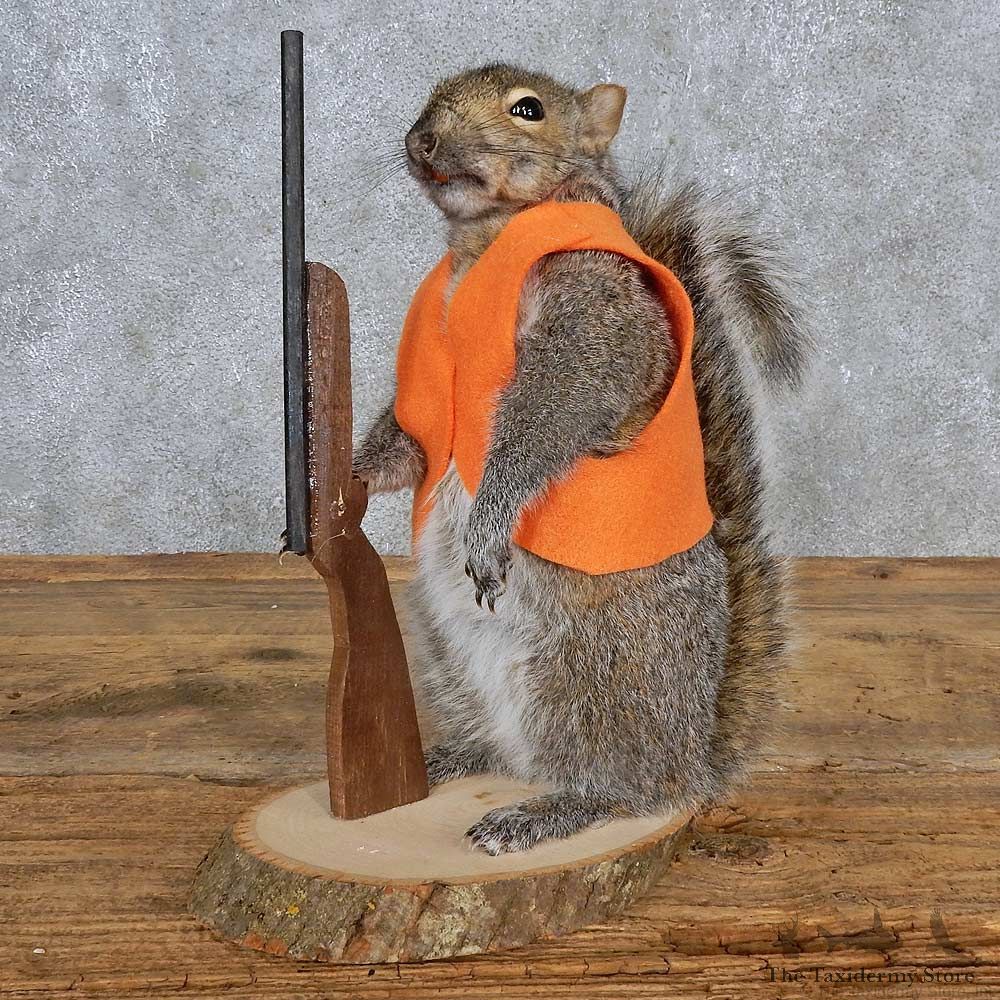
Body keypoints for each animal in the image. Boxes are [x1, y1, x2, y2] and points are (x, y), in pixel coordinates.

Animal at [353, 63, 811, 855]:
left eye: (528, 110)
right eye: (430, 96)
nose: (423, 140)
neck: (483, 242)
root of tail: (695, 758)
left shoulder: (596, 318)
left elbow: (551, 417)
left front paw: (489, 521)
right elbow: (412, 441)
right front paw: (350, 471)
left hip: (594, 672)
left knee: (625, 786)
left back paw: (548, 812)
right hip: (447, 654)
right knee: (508, 749)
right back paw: (453, 757)